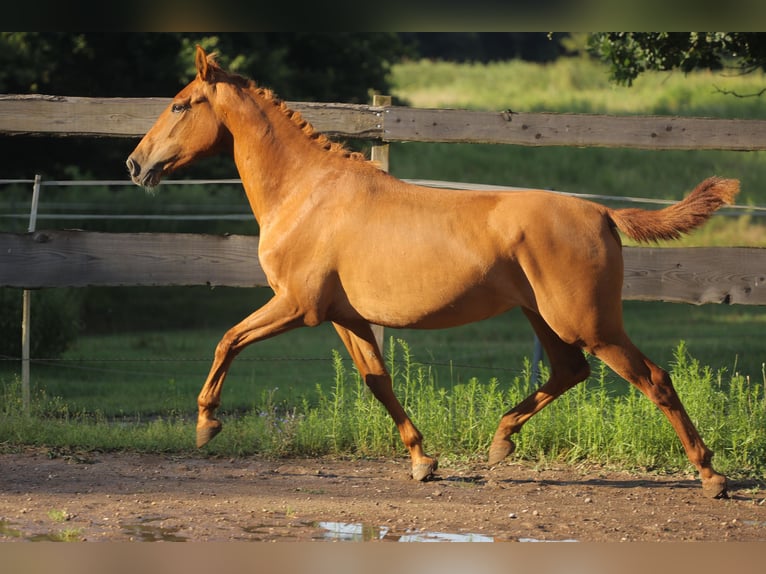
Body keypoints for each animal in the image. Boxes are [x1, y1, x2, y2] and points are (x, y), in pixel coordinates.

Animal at [129, 47, 740, 500]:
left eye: (180, 105)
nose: (136, 164)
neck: (307, 193)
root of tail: (602, 213)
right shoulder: (346, 317)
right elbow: (378, 381)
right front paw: (424, 461)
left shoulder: (298, 306)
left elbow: (228, 340)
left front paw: (206, 425)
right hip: (544, 318)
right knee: (570, 371)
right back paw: (500, 443)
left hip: (589, 322)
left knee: (653, 378)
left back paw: (712, 476)